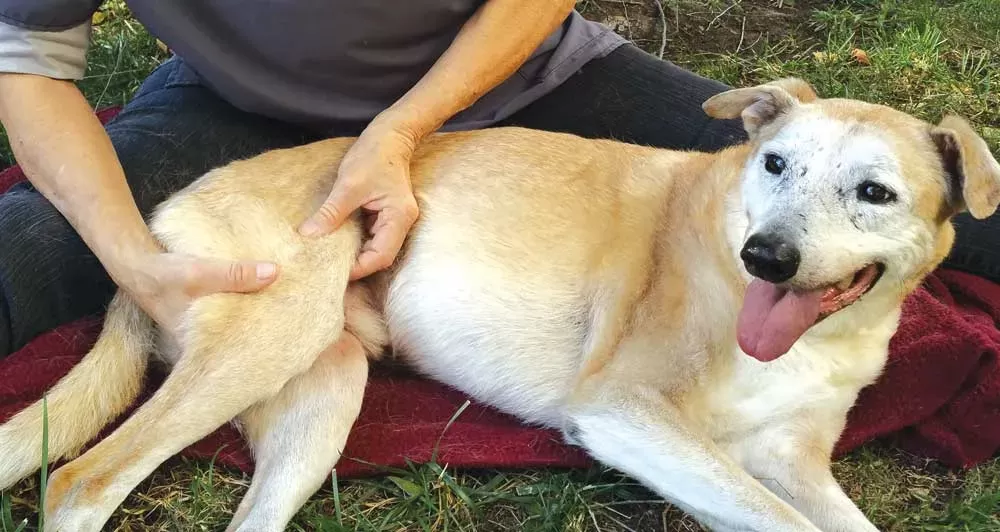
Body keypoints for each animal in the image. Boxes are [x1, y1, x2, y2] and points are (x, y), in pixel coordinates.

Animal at [1, 77, 1000, 528]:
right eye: (775, 164)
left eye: (874, 193)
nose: (767, 257)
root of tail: (154, 220)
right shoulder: (622, 413)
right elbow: (780, 519)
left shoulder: (789, 459)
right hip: (270, 335)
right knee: (82, 478)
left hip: (325, 390)